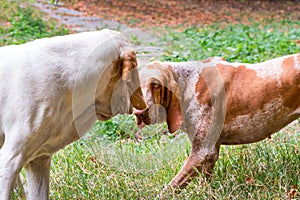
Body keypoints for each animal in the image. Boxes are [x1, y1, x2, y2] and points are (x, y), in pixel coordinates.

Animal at [135, 53, 298, 191]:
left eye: (156, 85)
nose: (139, 113)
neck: (187, 84)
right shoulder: (210, 152)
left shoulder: (203, 152)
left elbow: (169, 189)